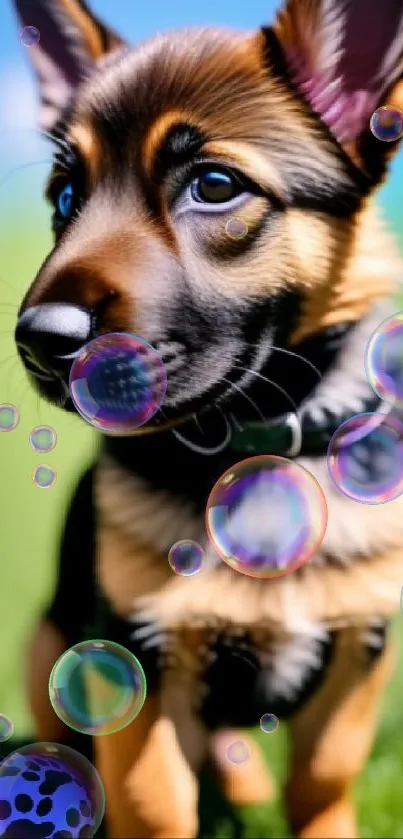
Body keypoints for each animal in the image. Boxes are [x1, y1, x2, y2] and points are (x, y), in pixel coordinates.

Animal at [11, 1, 403, 839]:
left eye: (215, 186)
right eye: (65, 196)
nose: (38, 341)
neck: (258, 442)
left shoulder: (359, 642)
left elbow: (323, 775)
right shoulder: (134, 651)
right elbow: (153, 796)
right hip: (46, 644)